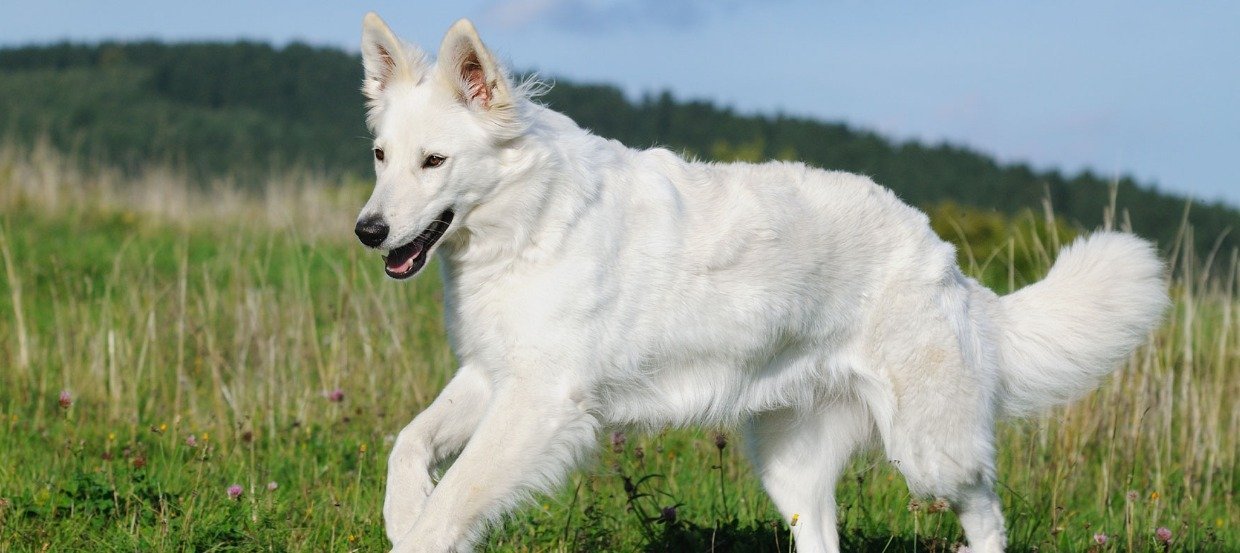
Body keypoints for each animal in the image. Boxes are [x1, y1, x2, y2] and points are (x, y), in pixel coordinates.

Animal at [354, 14, 1165, 553]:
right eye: (381, 155)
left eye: (434, 161)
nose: (367, 230)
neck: (528, 220)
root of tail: (951, 265)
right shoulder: (495, 375)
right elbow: (408, 444)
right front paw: (402, 507)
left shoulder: (540, 400)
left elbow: (454, 501)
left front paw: (417, 526)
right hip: (792, 466)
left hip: (929, 451)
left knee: (988, 513)